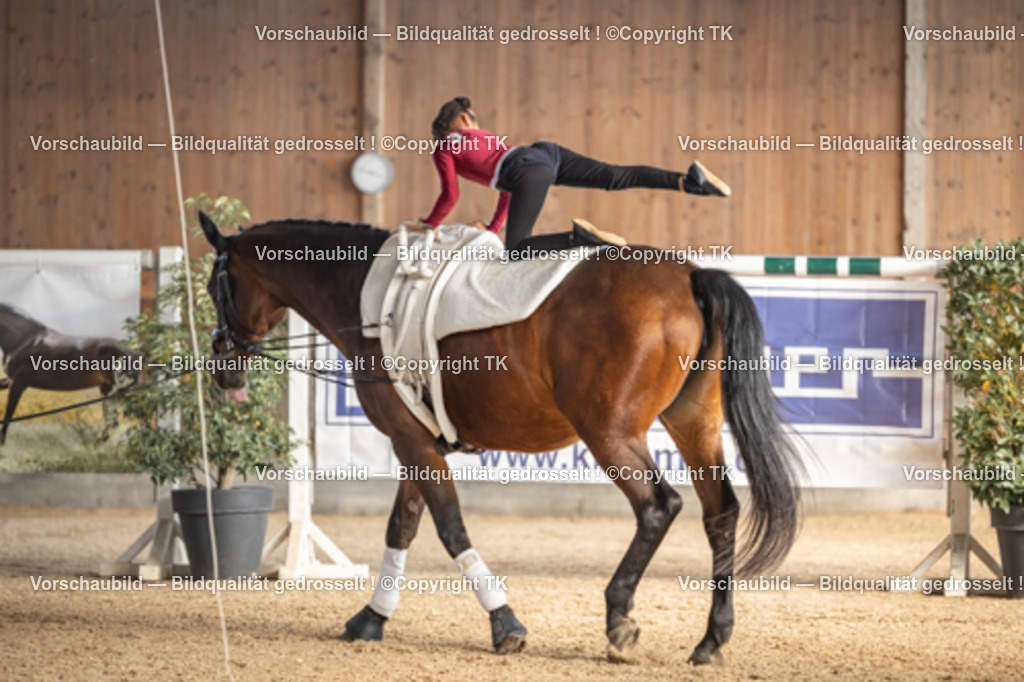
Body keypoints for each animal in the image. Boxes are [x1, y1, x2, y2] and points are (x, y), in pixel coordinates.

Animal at [0, 303, 138, 444]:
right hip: (107, 389)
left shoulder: (18, 383)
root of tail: (132, 351)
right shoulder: (10, 380)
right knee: (112, 421)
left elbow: (8, 413)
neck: (24, 340)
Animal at [198, 211, 803, 665]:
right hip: (692, 422)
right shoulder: (416, 441)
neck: (371, 300)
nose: (222, 366)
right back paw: (711, 640)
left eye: (214, 287)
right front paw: (371, 618)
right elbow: (403, 526)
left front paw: (503, 621)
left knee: (659, 506)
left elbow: (448, 528)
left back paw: (619, 619)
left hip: (608, 431)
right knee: (721, 513)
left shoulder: (410, 442)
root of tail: (688, 276)